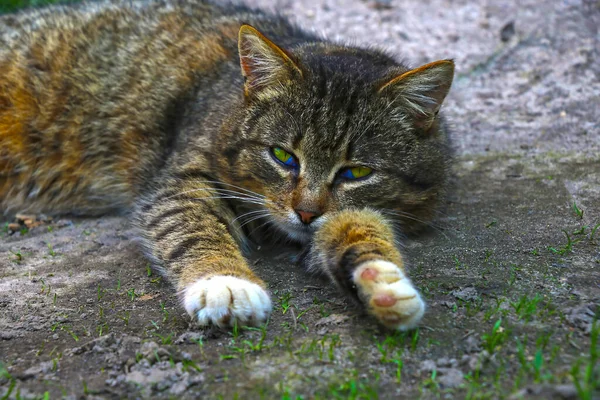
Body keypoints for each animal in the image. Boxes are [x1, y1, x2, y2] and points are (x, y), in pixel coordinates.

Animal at [0, 0, 452, 332]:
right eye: (282, 156)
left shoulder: (369, 207)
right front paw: (225, 282)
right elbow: (192, 228)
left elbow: (361, 228)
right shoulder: (181, 181)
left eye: (355, 172)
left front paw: (380, 279)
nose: (306, 213)